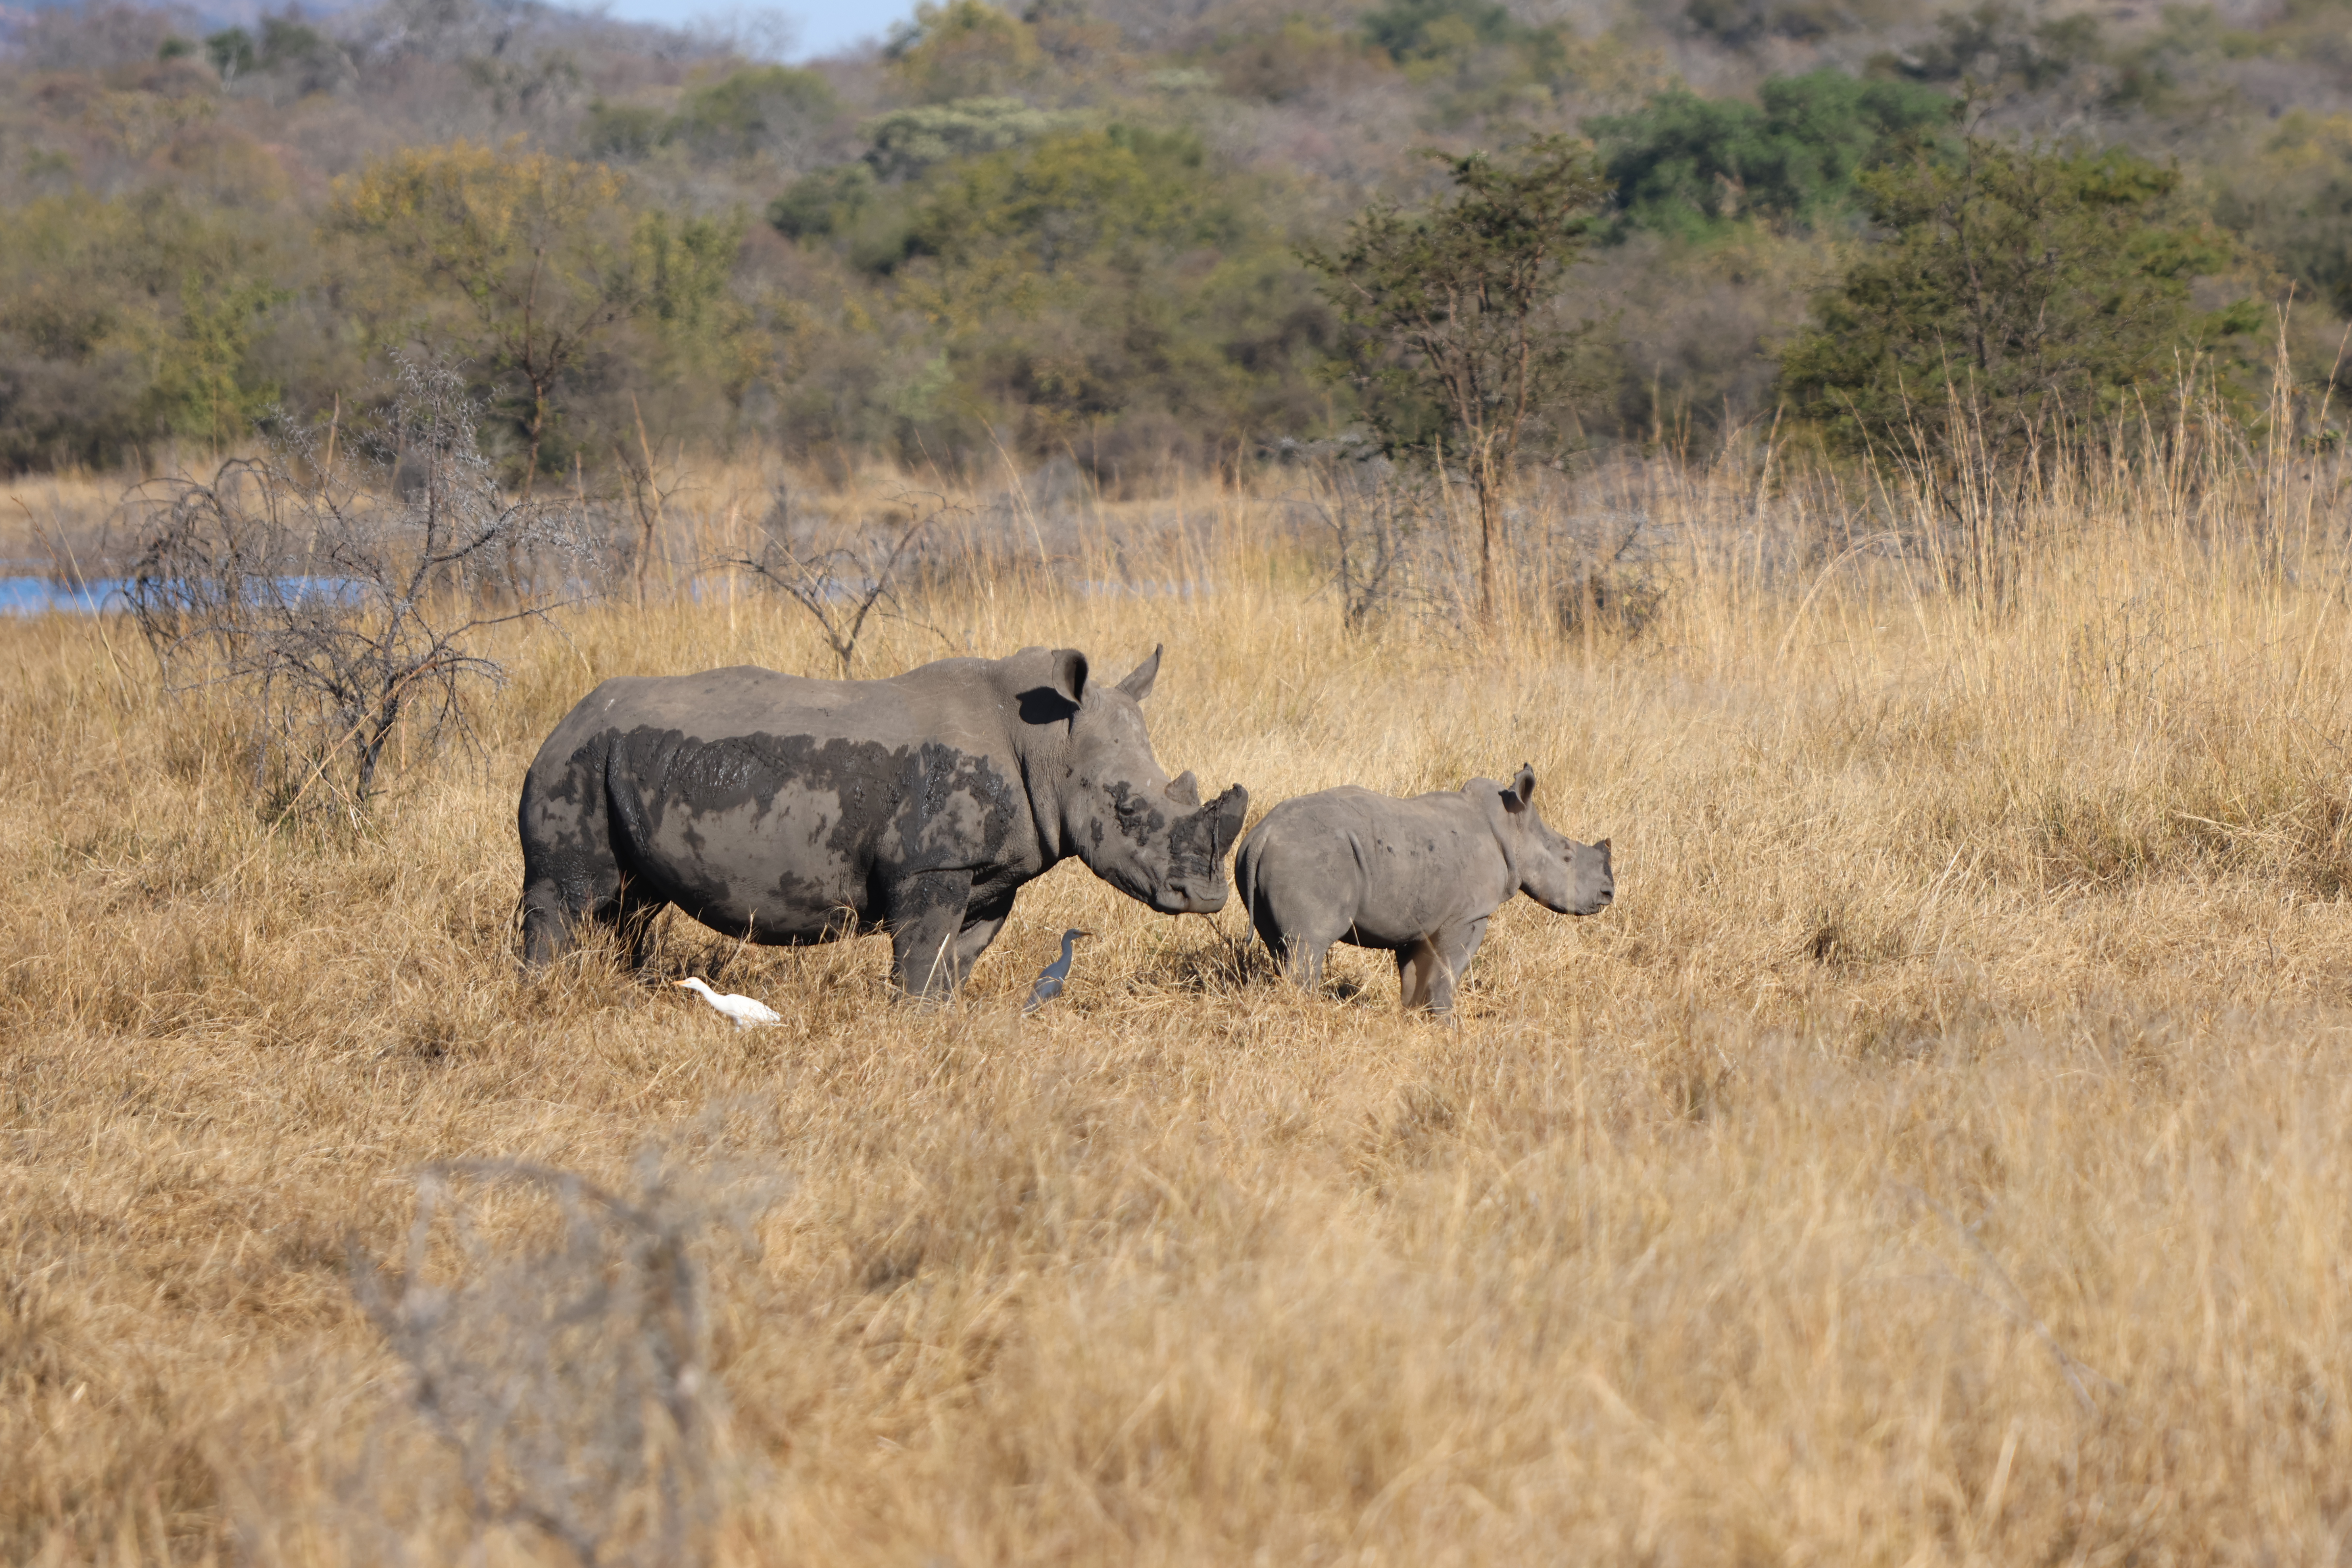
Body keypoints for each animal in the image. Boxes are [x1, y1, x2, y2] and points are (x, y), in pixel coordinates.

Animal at [517, 645, 1247, 997]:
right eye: (1126, 809)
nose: (1207, 897)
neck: (1047, 743)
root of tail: (566, 717)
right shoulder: (931, 864)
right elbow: (922, 956)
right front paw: (912, 1023)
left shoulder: (989, 874)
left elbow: (957, 959)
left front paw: (940, 1021)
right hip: (576, 759)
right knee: (571, 895)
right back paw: (543, 993)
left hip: (620, 758)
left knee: (634, 902)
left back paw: (629, 988)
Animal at [1234, 766, 1611, 1015]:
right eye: (1568, 857)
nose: (1609, 893)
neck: (1511, 829)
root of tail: (1262, 835)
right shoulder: (1469, 915)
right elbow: (1450, 968)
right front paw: (1446, 1023)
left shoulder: (1418, 915)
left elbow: (1414, 972)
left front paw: (1413, 1016)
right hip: (1309, 855)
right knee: (1308, 944)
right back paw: (1308, 1010)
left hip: (1270, 857)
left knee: (1280, 945)